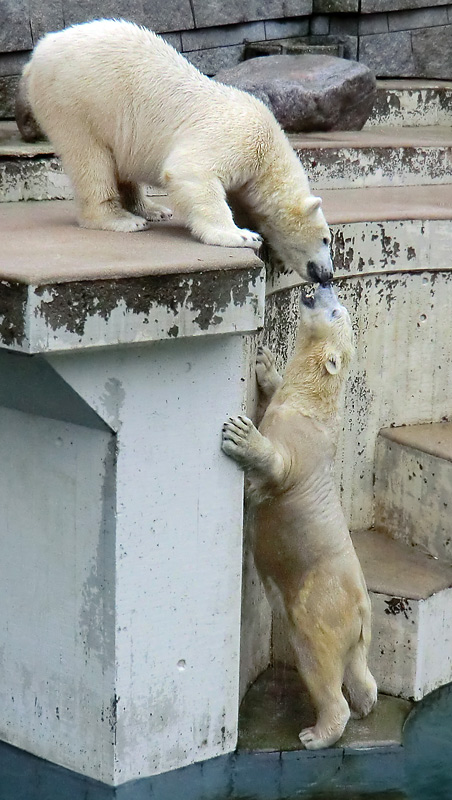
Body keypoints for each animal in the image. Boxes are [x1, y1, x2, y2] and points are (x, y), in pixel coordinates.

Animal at [17, 17, 334, 286]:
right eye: (326, 239)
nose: (327, 274)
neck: (269, 154)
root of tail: (37, 53)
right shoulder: (238, 138)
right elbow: (192, 172)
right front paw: (241, 236)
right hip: (76, 100)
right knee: (90, 158)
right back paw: (122, 219)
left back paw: (152, 209)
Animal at [221, 286, 376, 752]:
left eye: (335, 310)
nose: (322, 284)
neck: (313, 405)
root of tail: (362, 608)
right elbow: (274, 389)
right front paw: (266, 364)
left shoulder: (300, 445)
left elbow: (277, 465)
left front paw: (242, 434)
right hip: (353, 626)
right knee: (358, 668)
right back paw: (366, 702)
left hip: (321, 606)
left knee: (319, 663)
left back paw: (317, 733)